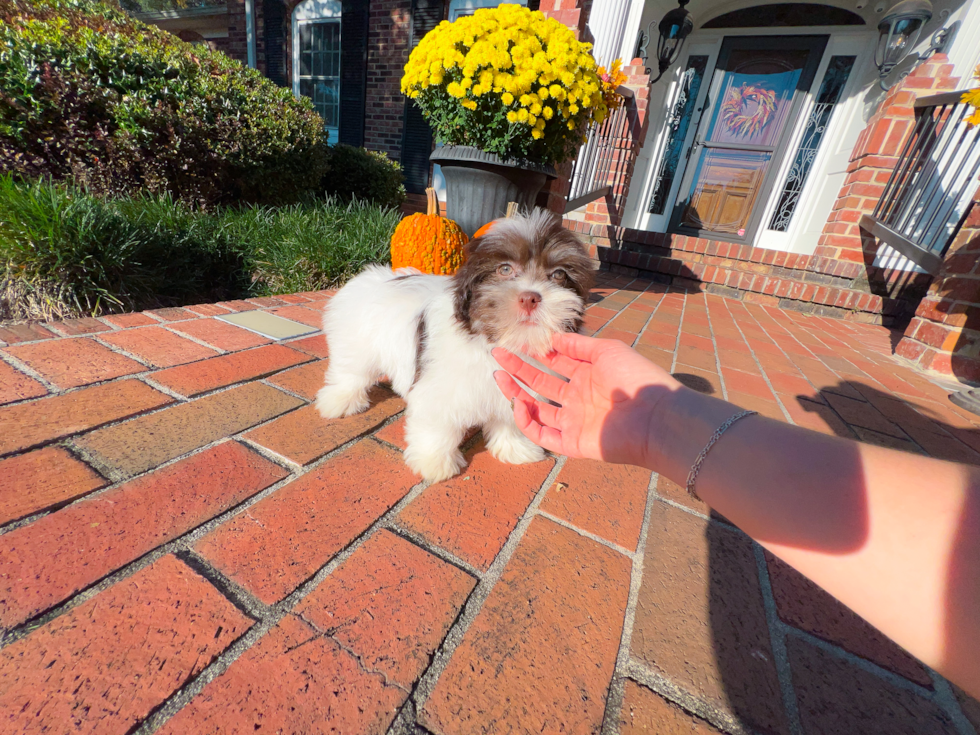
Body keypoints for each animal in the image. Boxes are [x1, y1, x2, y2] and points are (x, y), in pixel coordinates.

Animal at [318, 207, 592, 484]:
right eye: (504, 269)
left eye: (558, 274)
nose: (530, 297)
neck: (499, 340)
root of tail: (371, 276)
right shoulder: (440, 389)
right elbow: (437, 425)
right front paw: (433, 462)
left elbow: (511, 419)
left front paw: (516, 448)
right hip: (356, 344)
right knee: (351, 373)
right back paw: (341, 401)